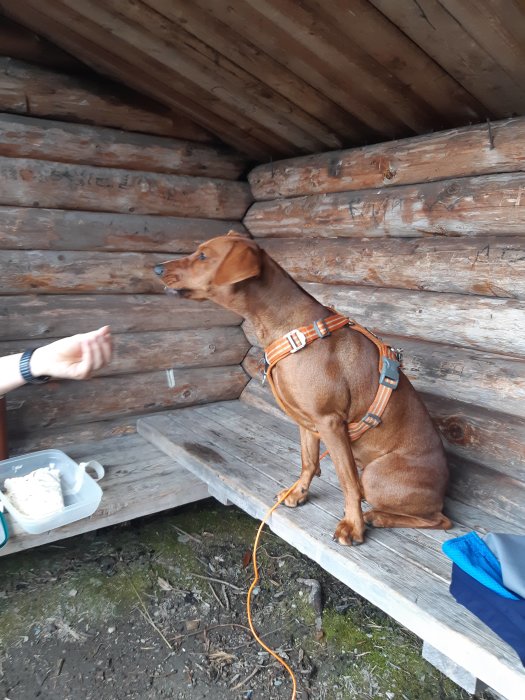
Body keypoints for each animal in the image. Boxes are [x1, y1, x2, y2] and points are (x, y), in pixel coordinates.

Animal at [155, 232, 450, 544]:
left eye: (203, 255)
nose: (157, 268)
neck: (287, 328)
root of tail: (444, 487)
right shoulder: (309, 422)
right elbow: (308, 462)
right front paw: (299, 492)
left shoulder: (330, 422)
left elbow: (347, 481)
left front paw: (353, 525)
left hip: (375, 475)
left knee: (439, 520)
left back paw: (377, 516)